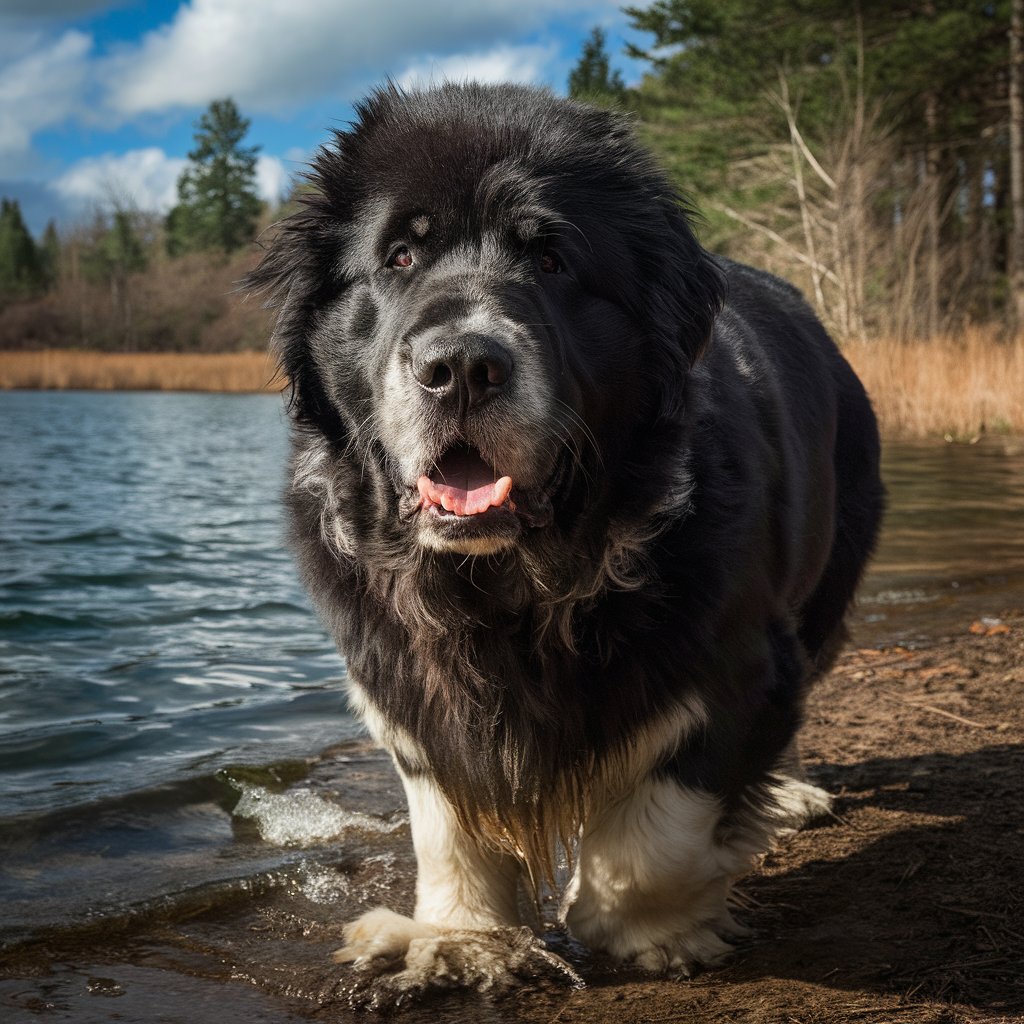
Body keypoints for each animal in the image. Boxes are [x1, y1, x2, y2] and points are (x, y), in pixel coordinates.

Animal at [245, 83, 880, 995]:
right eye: (399, 256)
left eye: (551, 260)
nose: (461, 365)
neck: (510, 580)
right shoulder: (407, 677)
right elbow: (446, 818)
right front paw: (458, 935)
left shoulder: (736, 658)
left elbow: (662, 824)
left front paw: (634, 924)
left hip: (823, 586)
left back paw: (789, 794)